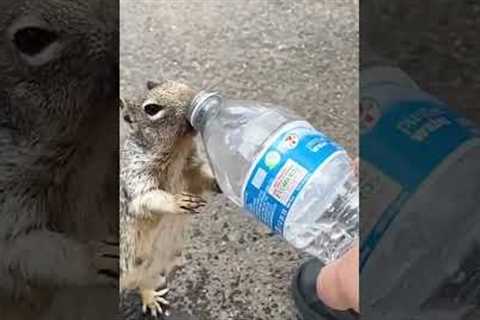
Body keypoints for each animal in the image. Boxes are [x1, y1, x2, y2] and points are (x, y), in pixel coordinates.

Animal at [119, 79, 218, 318]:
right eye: (151, 109)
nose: (193, 97)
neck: (177, 151)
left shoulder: (192, 171)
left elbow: (204, 177)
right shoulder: (135, 177)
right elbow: (148, 199)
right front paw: (177, 202)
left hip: (153, 269)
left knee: (143, 283)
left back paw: (151, 298)